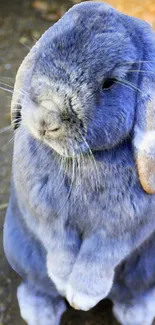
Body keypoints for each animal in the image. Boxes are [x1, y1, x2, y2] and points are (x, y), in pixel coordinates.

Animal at [3, 0, 155, 324]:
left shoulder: (123, 228)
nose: (46, 119)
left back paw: (136, 313)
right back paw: (41, 312)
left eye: (109, 83)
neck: (85, 159)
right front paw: (65, 283)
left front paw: (82, 298)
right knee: (36, 285)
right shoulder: (45, 214)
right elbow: (58, 244)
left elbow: (100, 254)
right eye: (42, 53)